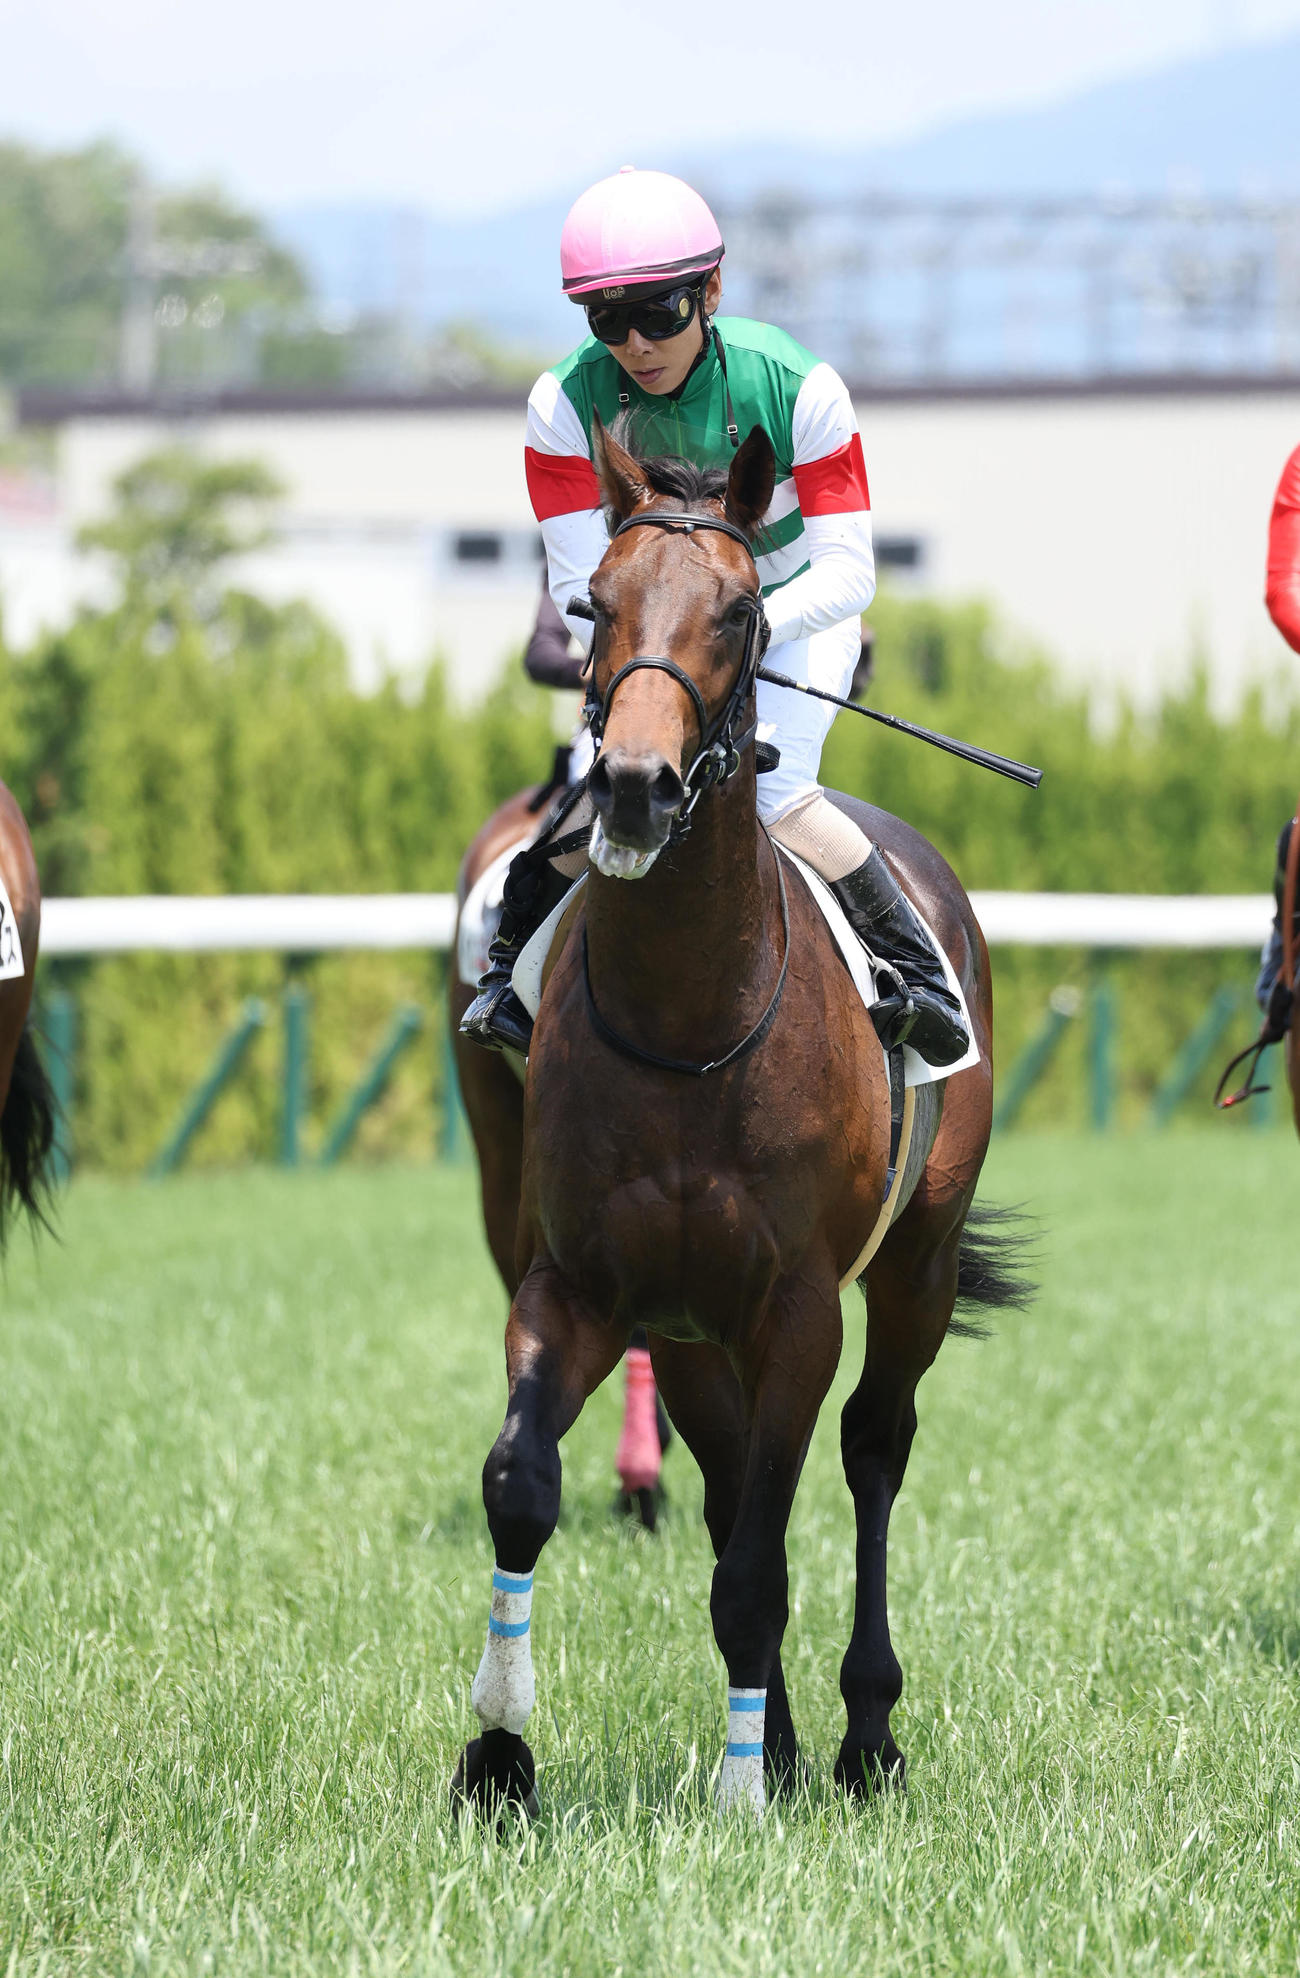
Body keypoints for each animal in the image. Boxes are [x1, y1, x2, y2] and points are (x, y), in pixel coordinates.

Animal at [452, 419, 1030, 1820]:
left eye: (739, 609)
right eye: (594, 603)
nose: (633, 787)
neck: (687, 1013)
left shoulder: (799, 1307)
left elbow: (767, 1551)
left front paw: (743, 1788)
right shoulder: (585, 1283)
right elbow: (522, 1483)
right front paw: (498, 1755)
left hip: (917, 1264)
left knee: (873, 1450)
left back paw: (862, 1733)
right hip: (689, 1324)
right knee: (726, 1491)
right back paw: (779, 1729)